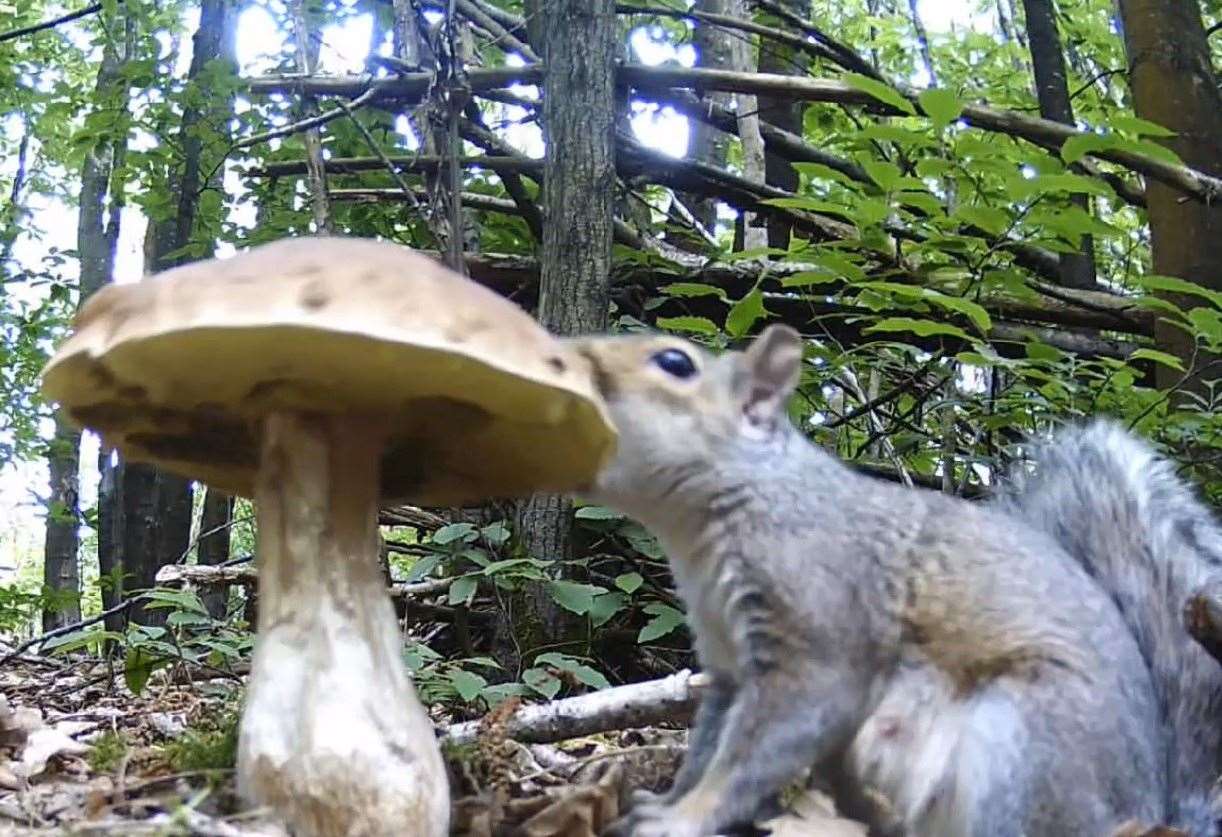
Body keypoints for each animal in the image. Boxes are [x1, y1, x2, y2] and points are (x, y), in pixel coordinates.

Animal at [567, 325, 1222, 835]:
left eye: (675, 363)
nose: (570, 359)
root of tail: (1146, 813)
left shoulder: (820, 616)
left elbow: (763, 745)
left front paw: (684, 818)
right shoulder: (728, 659)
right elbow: (709, 745)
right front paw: (665, 802)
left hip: (1027, 746)